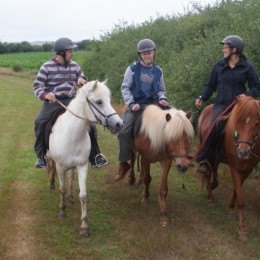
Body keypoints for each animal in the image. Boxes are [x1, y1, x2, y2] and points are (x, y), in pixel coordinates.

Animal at [47, 80, 123, 237]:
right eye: (99, 101)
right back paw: (52, 184)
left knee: (71, 177)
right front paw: (62, 211)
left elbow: (83, 195)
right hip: (50, 158)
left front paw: (84, 226)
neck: (71, 135)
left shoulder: (82, 166)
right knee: (51, 166)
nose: (119, 124)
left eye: (109, 100)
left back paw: (70, 198)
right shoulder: (60, 167)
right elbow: (61, 189)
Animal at [197, 96, 260, 241]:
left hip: (216, 157)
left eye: (257, 124)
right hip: (209, 152)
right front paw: (242, 230)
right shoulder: (234, 167)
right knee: (207, 172)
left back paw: (211, 187)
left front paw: (231, 209)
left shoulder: (247, 169)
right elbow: (240, 199)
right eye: (239, 122)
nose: (243, 152)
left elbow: (237, 191)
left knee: (214, 173)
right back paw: (210, 197)